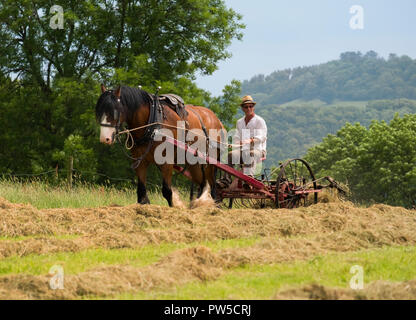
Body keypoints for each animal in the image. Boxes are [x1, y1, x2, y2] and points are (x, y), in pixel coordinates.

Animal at [95, 84, 224, 206]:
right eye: (99, 111)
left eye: (114, 111)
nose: (105, 138)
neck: (152, 125)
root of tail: (216, 119)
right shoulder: (140, 161)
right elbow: (141, 193)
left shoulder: (167, 162)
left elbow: (167, 191)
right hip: (194, 163)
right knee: (202, 184)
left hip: (210, 163)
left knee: (213, 188)